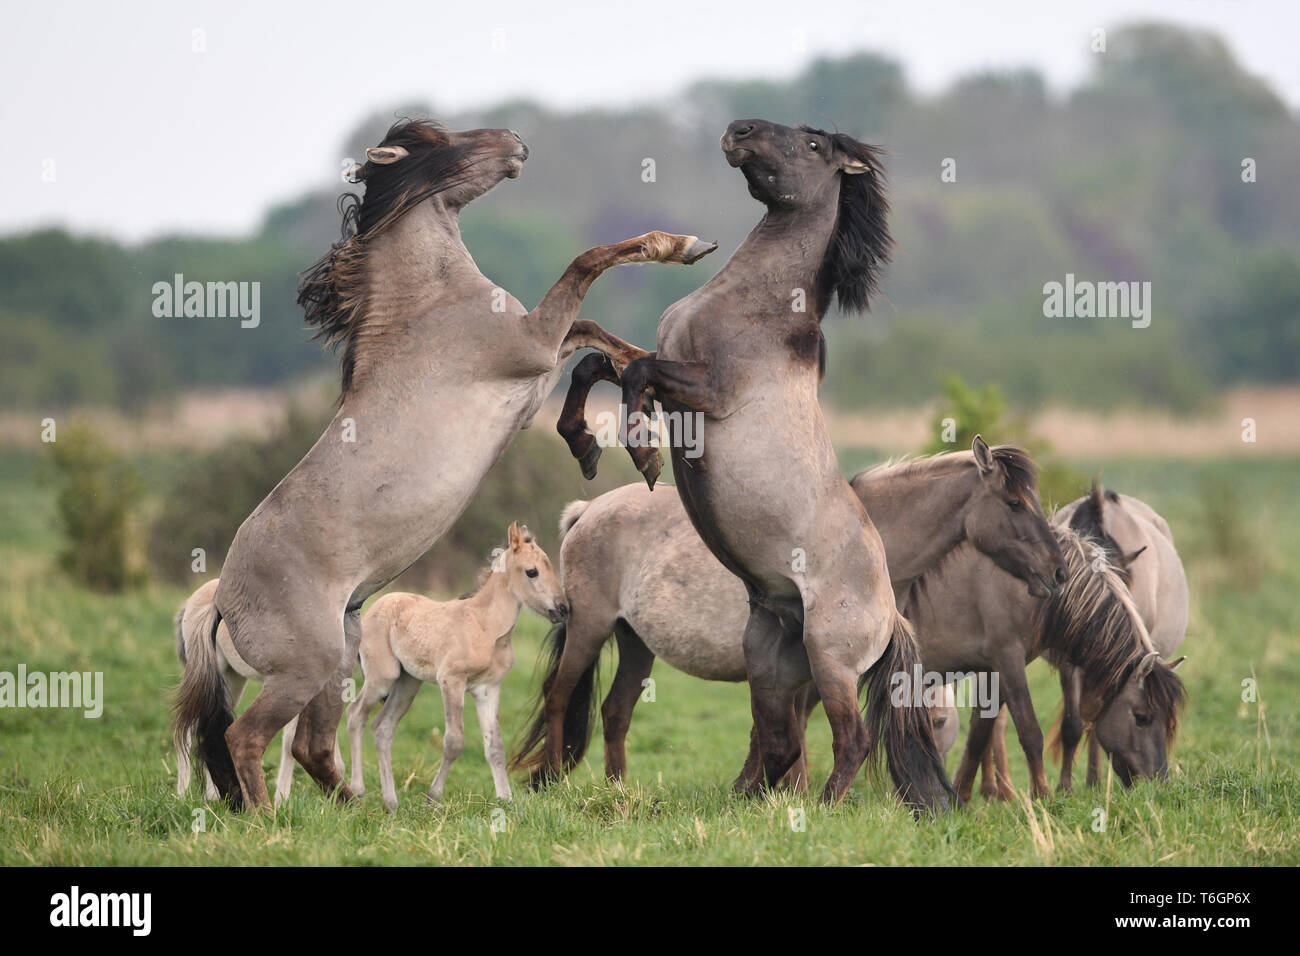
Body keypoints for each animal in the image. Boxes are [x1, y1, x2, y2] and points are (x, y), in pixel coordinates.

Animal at [348, 522, 566, 806]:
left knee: (382, 728)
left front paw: (506, 799)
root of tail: (372, 610)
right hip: (382, 677)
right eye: (532, 572)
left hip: (408, 683)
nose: (563, 609)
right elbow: (454, 741)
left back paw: (391, 802)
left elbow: (495, 746)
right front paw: (433, 797)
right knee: (355, 715)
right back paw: (357, 788)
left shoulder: (488, 689)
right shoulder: (451, 681)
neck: (486, 627)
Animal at [559, 115, 956, 811]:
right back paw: (750, 802)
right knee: (778, 741)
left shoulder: (704, 389)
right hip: (769, 659)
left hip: (829, 659)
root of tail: (891, 618)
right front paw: (582, 441)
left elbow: (631, 371)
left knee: (849, 739)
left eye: (815, 145)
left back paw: (823, 808)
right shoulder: (672, 368)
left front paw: (644, 452)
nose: (738, 128)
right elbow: (597, 359)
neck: (758, 307)